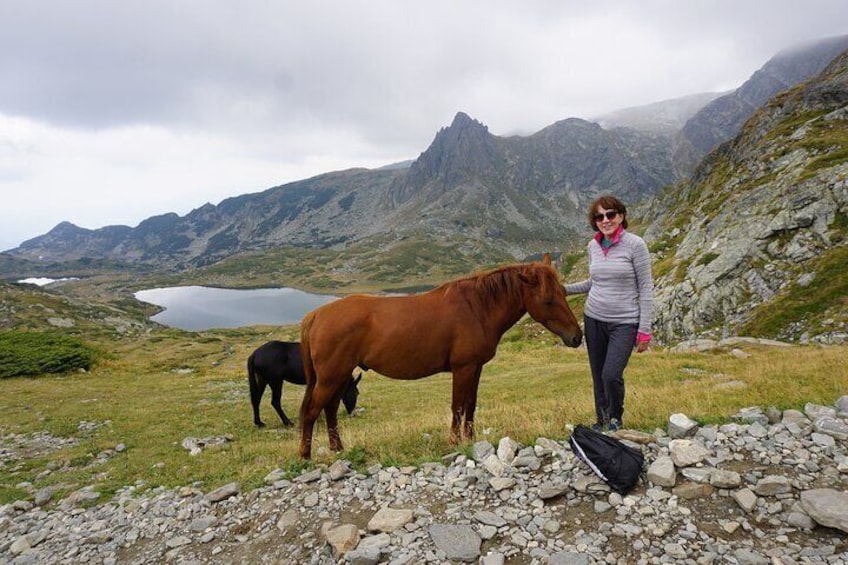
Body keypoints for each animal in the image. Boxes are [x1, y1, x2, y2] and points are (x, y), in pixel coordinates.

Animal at [298, 256, 584, 458]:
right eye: (547, 300)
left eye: (563, 292)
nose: (576, 337)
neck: (476, 308)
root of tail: (316, 315)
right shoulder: (463, 368)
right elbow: (457, 406)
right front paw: (454, 441)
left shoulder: (476, 368)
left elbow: (471, 404)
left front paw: (470, 438)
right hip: (330, 378)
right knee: (312, 412)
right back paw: (305, 455)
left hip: (339, 376)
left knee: (330, 411)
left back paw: (338, 449)